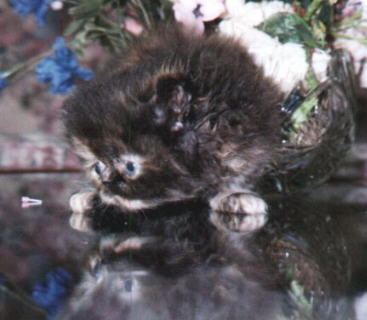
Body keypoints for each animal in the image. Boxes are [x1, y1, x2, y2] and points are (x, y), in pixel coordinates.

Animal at [63, 26, 284, 232]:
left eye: (130, 166)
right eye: (98, 167)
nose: (106, 182)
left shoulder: (248, 143)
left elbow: (238, 172)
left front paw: (232, 195)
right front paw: (93, 196)